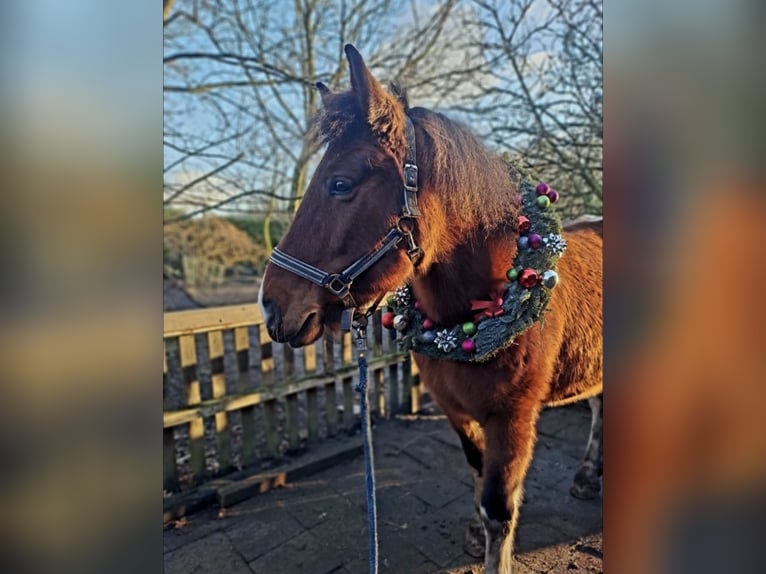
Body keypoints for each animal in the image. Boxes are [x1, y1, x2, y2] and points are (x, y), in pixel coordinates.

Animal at [260, 44, 602, 574]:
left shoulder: (514, 419)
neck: (471, 317)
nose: (272, 307)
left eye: (340, 184)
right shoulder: (456, 409)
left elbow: (498, 506)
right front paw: (475, 533)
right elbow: (478, 476)